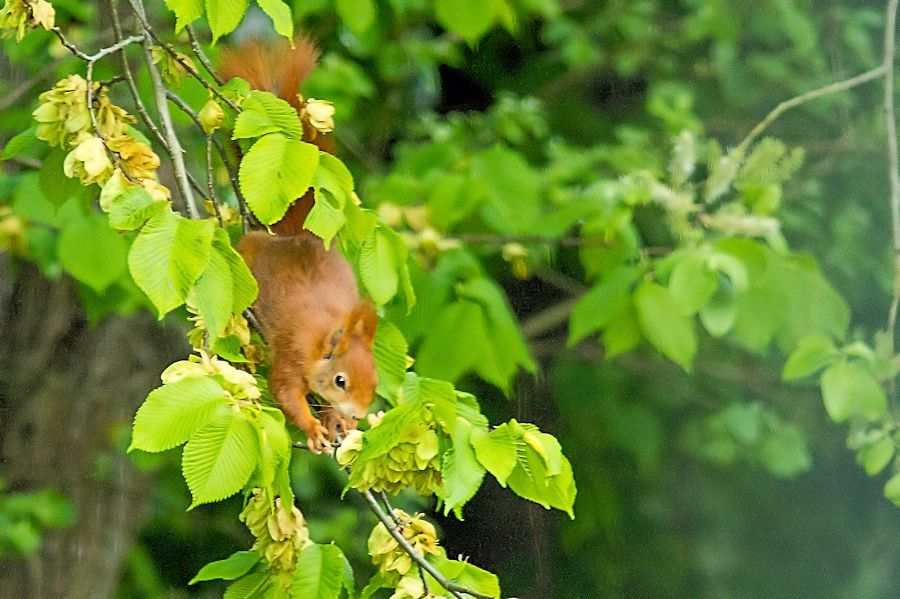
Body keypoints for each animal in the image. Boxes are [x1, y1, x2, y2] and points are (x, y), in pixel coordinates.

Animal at [227, 37, 382, 452]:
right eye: (341, 380)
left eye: (375, 379)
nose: (358, 413)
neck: (323, 335)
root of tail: (300, 237)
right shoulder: (291, 354)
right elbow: (285, 392)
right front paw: (313, 429)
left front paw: (334, 421)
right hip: (251, 254)